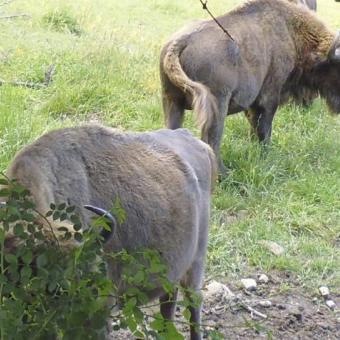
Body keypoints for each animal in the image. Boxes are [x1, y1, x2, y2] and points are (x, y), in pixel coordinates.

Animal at [160, 0, 340, 173]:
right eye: (336, 68)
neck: (292, 33)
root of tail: (181, 41)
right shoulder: (269, 98)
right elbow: (264, 128)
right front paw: (266, 155)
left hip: (172, 101)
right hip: (217, 104)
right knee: (212, 139)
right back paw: (224, 173)